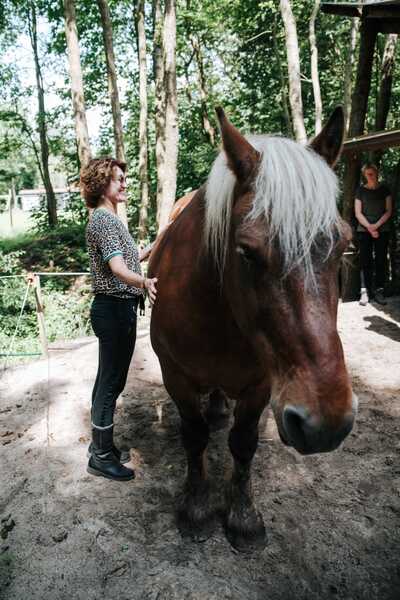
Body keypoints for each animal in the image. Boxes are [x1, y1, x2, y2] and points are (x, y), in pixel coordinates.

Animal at [148, 106, 358, 548]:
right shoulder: (175, 376)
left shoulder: (261, 385)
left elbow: (243, 444)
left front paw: (243, 516)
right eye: (246, 252)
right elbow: (194, 435)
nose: (327, 424)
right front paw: (197, 506)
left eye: (343, 244)